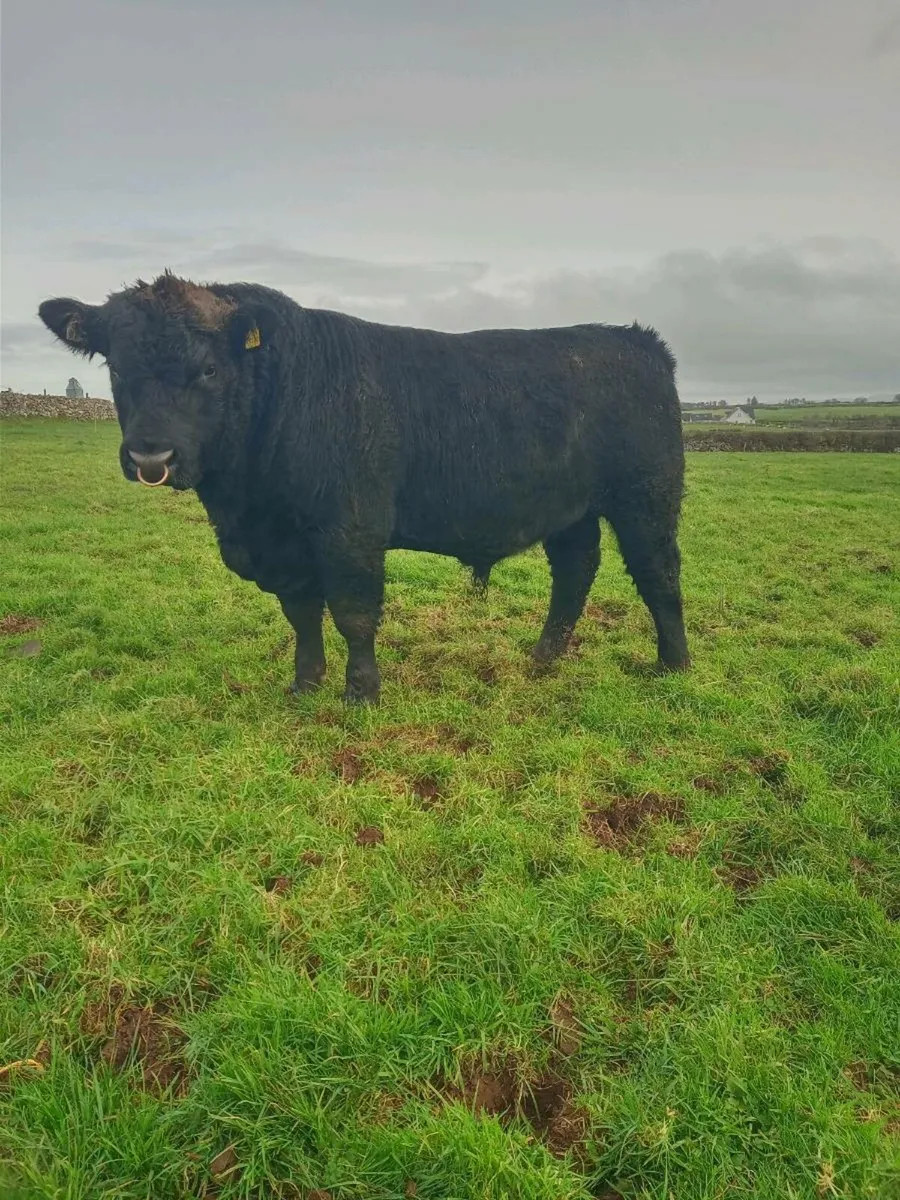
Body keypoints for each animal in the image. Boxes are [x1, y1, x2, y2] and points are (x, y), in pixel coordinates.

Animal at [38, 272, 690, 704]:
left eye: (209, 368)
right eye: (117, 367)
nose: (151, 456)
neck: (248, 508)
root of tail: (636, 339)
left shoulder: (349, 529)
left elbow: (353, 612)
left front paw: (361, 694)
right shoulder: (285, 543)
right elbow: (301, 613)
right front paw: (304, 684)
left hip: (647, 494)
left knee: (657, 573)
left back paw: (674, 665)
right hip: (570, 508)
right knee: (576, 570)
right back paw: (543, 656)